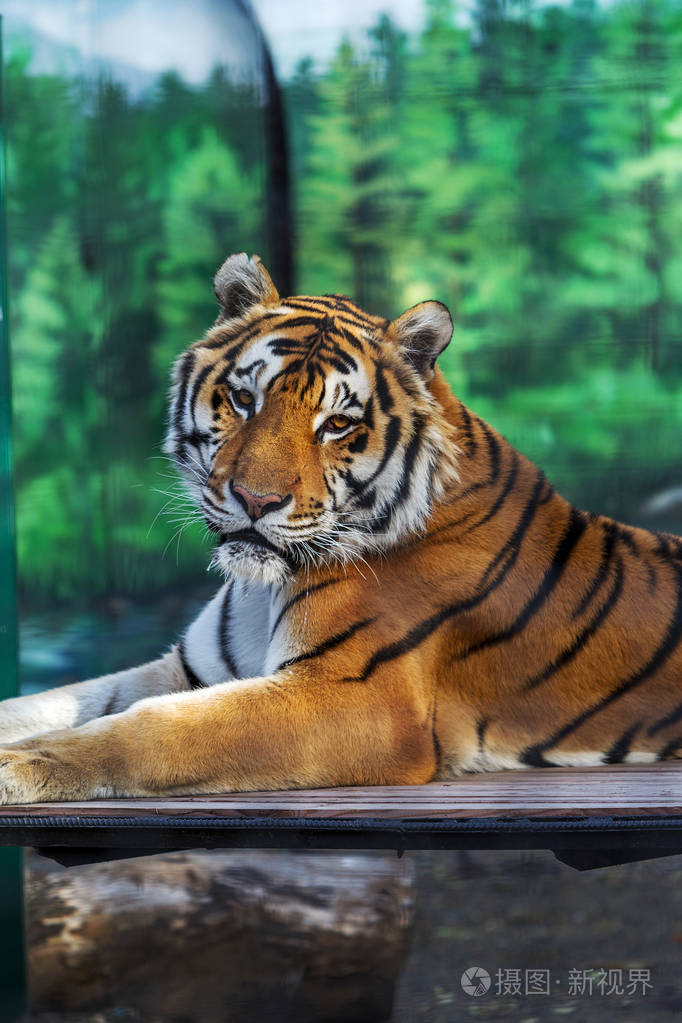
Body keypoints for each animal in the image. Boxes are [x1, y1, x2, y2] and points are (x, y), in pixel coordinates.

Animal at [0, 250, 681, 804]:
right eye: (244, 400)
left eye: (336, 424)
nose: (256, 500)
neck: (263, 586)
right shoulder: (191, 670)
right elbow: (56, 700)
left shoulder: (361, 698)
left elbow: (156, 728)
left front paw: (20, 766)